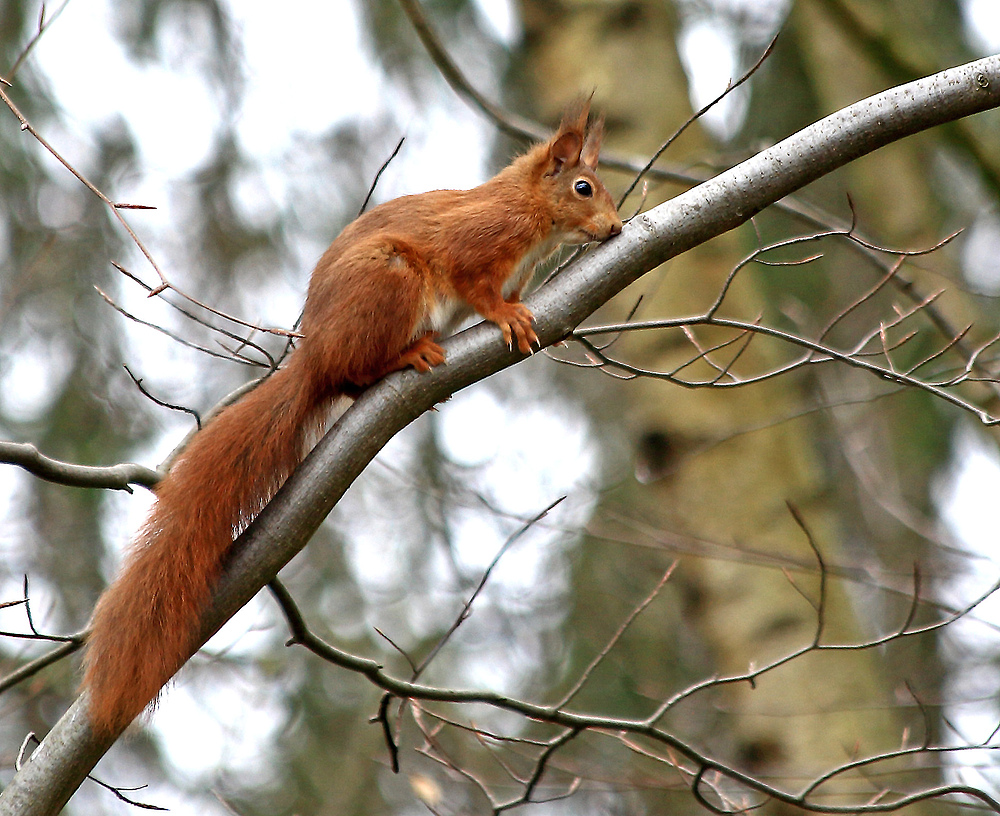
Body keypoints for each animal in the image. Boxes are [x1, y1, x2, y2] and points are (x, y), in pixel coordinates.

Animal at [82, 100, 620, 732]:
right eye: (583, 187)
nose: (615, 228)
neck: (529, 216)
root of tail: (314, 354)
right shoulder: (475, 245)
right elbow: (478, 288)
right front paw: (507, 316)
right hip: (390, 281)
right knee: (353, 373)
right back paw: (407, 356)